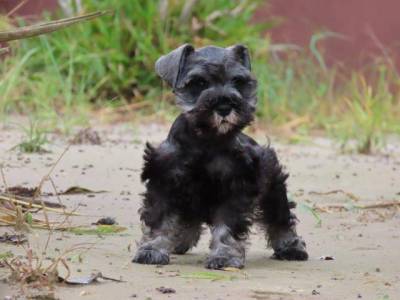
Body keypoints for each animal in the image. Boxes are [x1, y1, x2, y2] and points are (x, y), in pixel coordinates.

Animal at [133, 44, 308, 270]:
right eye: (199, 82)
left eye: (238, 81)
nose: (225, 107)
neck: (208, 140)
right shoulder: (165, 180)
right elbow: (159, 219)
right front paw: (152, 249)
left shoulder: (235, 187)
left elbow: (227, 226)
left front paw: (225, 256)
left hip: (273, 190)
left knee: (280, 219)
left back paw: (291, 247)